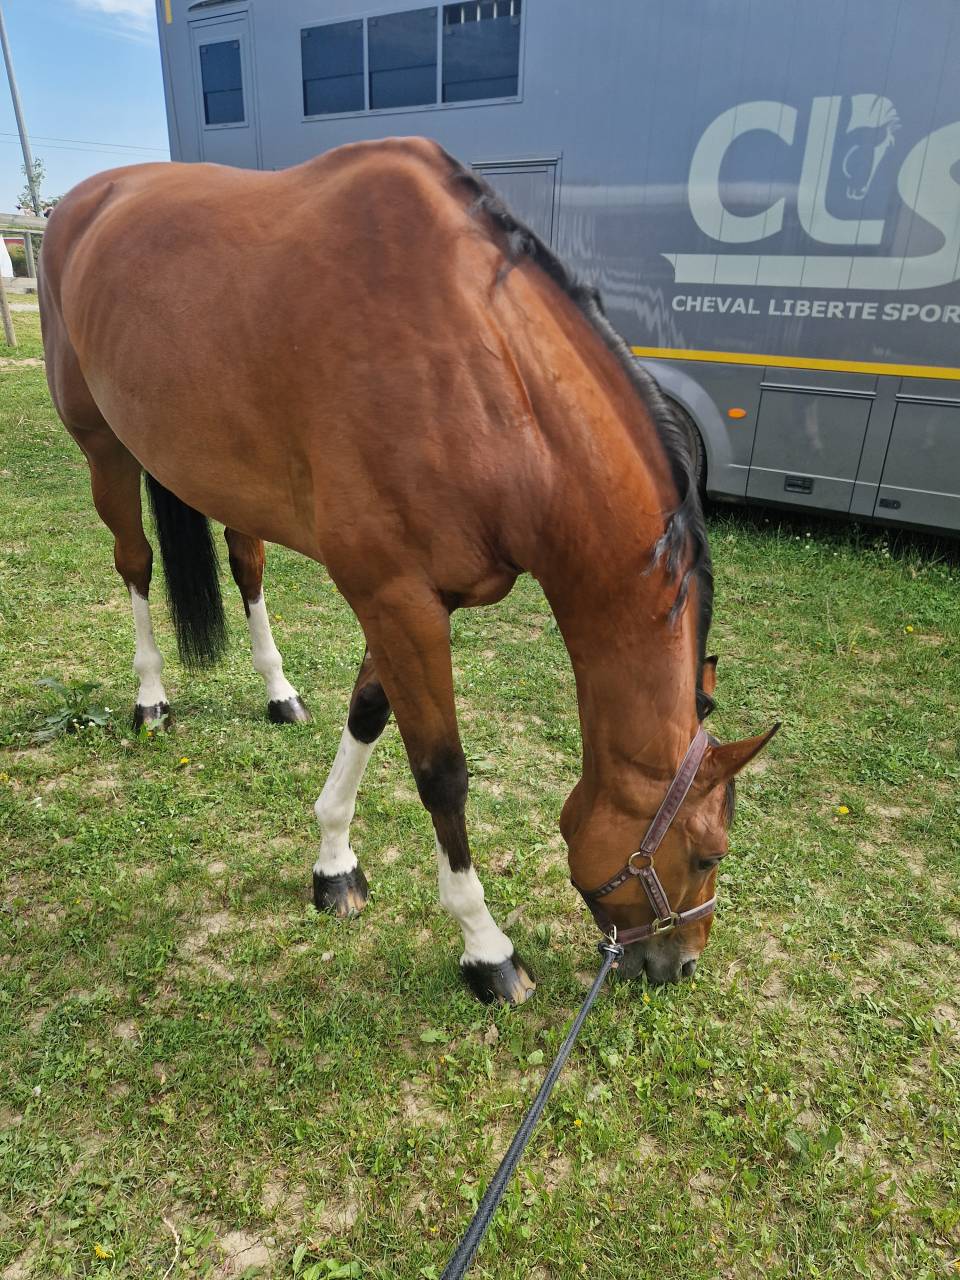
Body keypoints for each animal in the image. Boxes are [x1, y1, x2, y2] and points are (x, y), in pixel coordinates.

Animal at [39, 137, 777, 1003]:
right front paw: (486, 947)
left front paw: (332, 863)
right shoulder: (395, 597)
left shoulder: (413, 601)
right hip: (103, 448)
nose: (679, 963)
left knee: (247, 565)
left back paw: (278, 690)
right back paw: (151, 698)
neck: (482, 374)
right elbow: (441, 773)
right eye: (706, 854)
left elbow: (367, 714)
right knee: (135, 563)